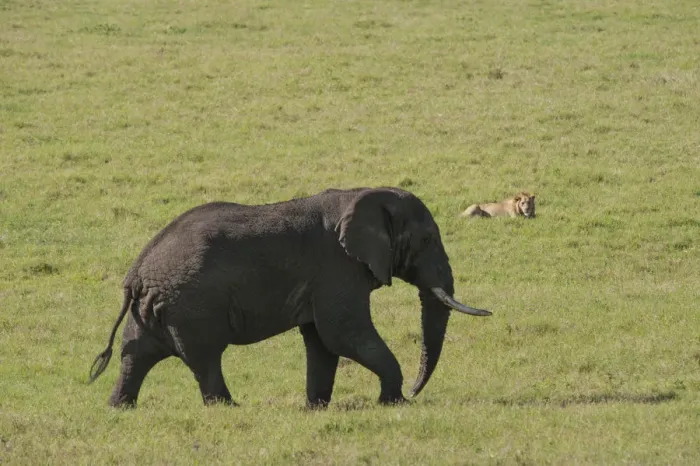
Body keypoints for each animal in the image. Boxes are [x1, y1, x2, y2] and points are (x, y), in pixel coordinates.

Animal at [89, 187, 491, 408]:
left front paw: (316, 408)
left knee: (135, 354)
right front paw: (392, 403)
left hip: (155, 309)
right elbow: (343, 334)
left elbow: (322, 342)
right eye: (427, 240)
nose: (413, 391)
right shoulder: (337, 268)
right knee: (205, 358)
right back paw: (229, 408)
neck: (359, 195)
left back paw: (119, 408)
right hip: (190, 306)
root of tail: (136, 272)